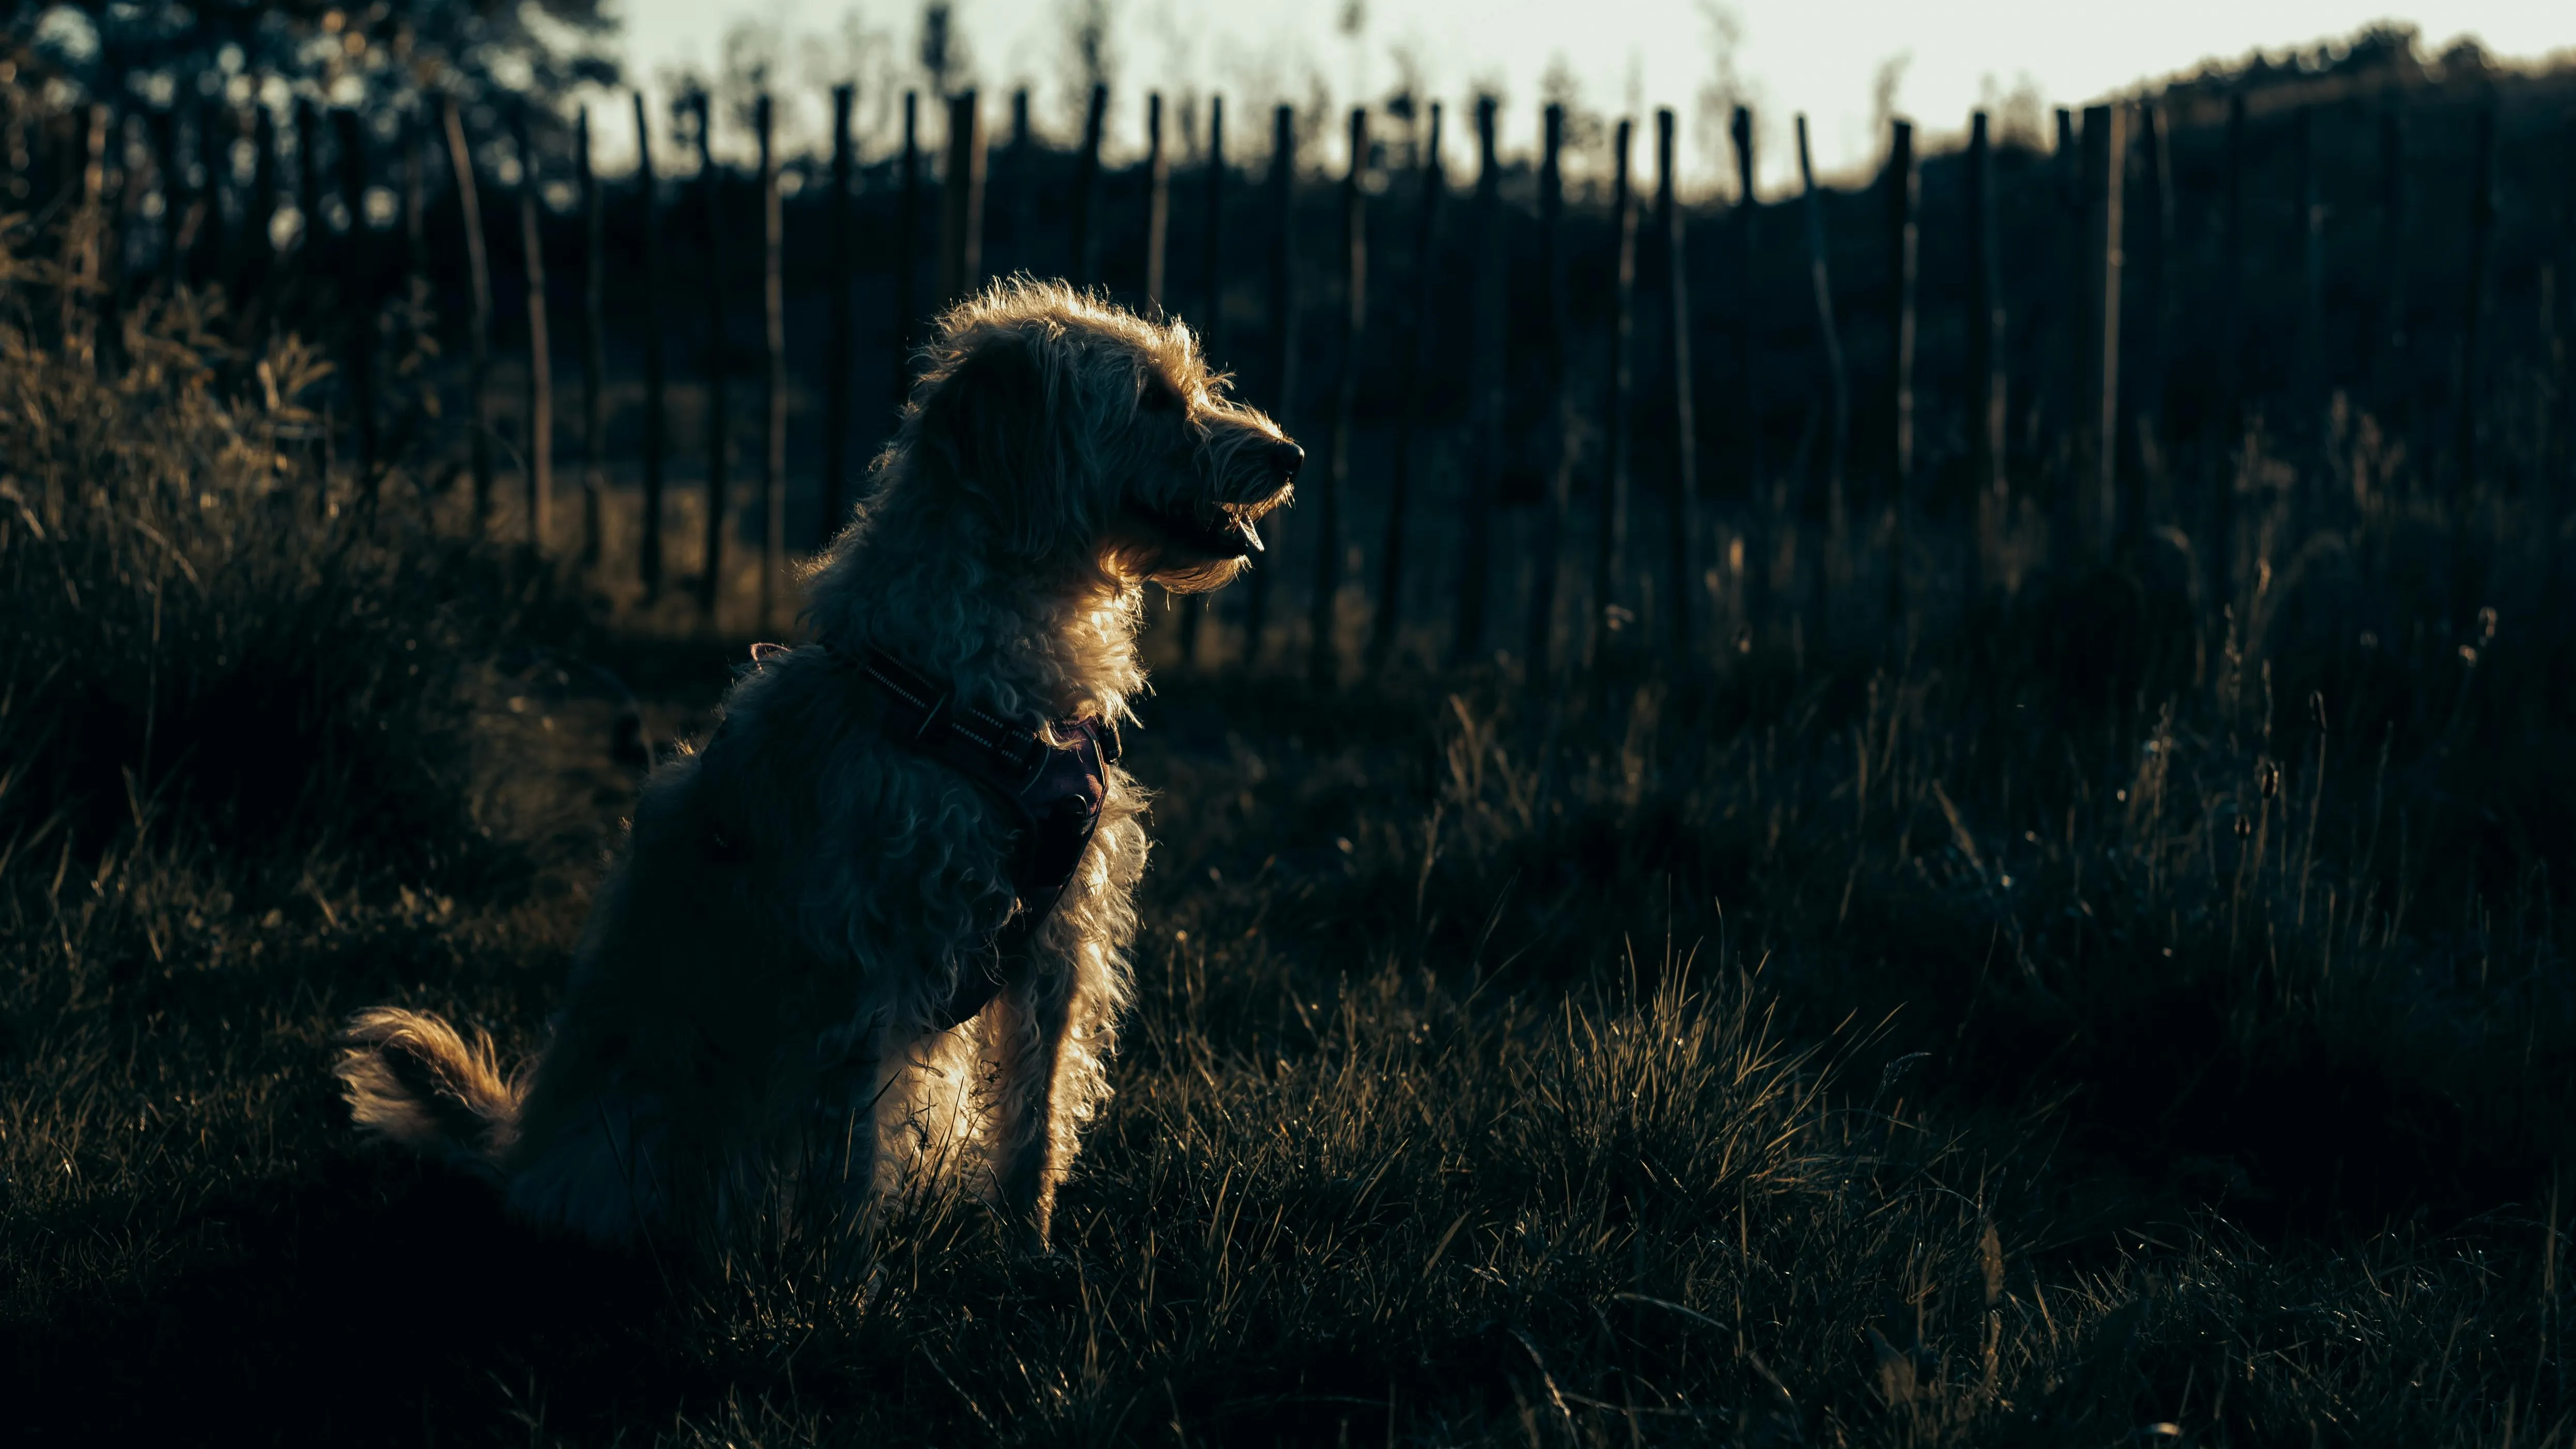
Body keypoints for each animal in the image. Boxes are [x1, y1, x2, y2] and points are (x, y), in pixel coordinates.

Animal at [340, 276, 1298, 1248]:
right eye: (1153, 399)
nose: (1289, 453)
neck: (985, 690)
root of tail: (518, 1157)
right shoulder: (861, 962)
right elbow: (851, 1156)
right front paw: (844, 1279)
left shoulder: (1053, 949)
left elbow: (1033, 1122)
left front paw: (1028, 1251)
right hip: (639, 1136)